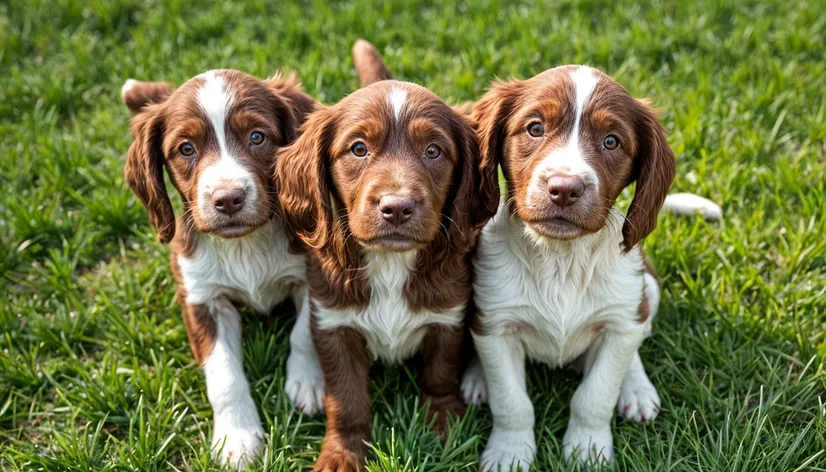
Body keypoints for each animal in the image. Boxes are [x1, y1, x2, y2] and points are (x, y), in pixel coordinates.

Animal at [122, 69, 322, 468]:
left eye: (257, 137)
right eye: (186, 149)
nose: (228, 199)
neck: (244, 244)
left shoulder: (312, 274)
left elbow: (303, 332)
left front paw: (308, 381)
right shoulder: (202, 299)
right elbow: (224, 372)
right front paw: (238, 438)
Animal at [276, 78, 496, 472]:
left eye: (433, 151)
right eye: (358, 149)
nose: (396, 207)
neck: (390, 262)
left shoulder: (448, 316)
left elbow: (440, 372)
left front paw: (444, 424)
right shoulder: (334, 324)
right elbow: (346, 398)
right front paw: (342, 454)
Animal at [464, 65, 684, 468]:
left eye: (612, 141)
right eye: (535, 128)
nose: (565, 189)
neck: (561, 258)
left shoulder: (619, 322)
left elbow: (595, 396)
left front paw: (588, 451)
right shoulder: (498, 325)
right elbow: (512, 402)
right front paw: (509, 453)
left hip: (647, 290)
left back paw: (637, 388)